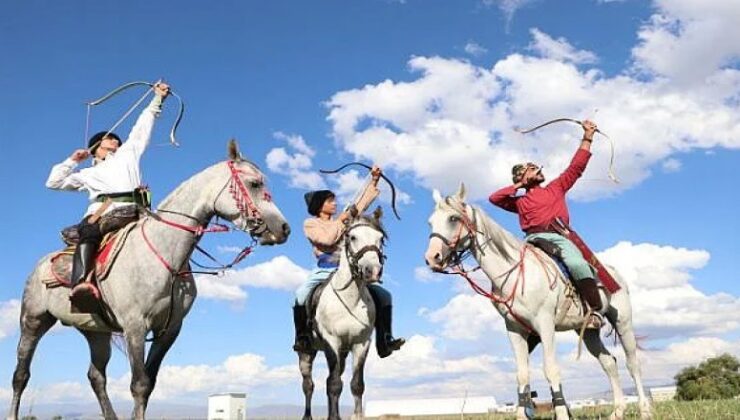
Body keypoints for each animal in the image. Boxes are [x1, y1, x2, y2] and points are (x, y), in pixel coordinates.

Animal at [10, 141, 292, 420]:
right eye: (255, 184)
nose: (284, 228)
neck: (165, 253)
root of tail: (40, 265)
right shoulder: (135, 326)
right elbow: (139, 383)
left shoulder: (169, 329)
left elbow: (149, 384)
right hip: (33, 321)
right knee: (21, 374)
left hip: (96, 332)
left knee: (96, 376)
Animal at [298, 208, 388, 420]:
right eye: (353, 237)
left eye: (380, 238)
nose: (373, 271)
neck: (350, 299)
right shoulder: (332, 341)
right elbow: (334, 384)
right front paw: (333, 417)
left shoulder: (361, 343)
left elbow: (356, 385)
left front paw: (356, 416)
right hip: (306, 353)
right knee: (309, 385)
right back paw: (307, 416)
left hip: (343, 353)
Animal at [424, 185, 652, 420]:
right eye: (430, 222)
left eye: (453, 218)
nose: (432, 258)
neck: (515, 272)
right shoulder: (515, 330)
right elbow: (522, 374)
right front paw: (521, 415)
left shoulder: (545, 324)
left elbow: (551, 369)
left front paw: (561, 414)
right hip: (588, 330)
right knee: (609, 363)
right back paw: (617, 411)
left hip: (623, 322)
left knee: (633, 363)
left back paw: (644, 410)